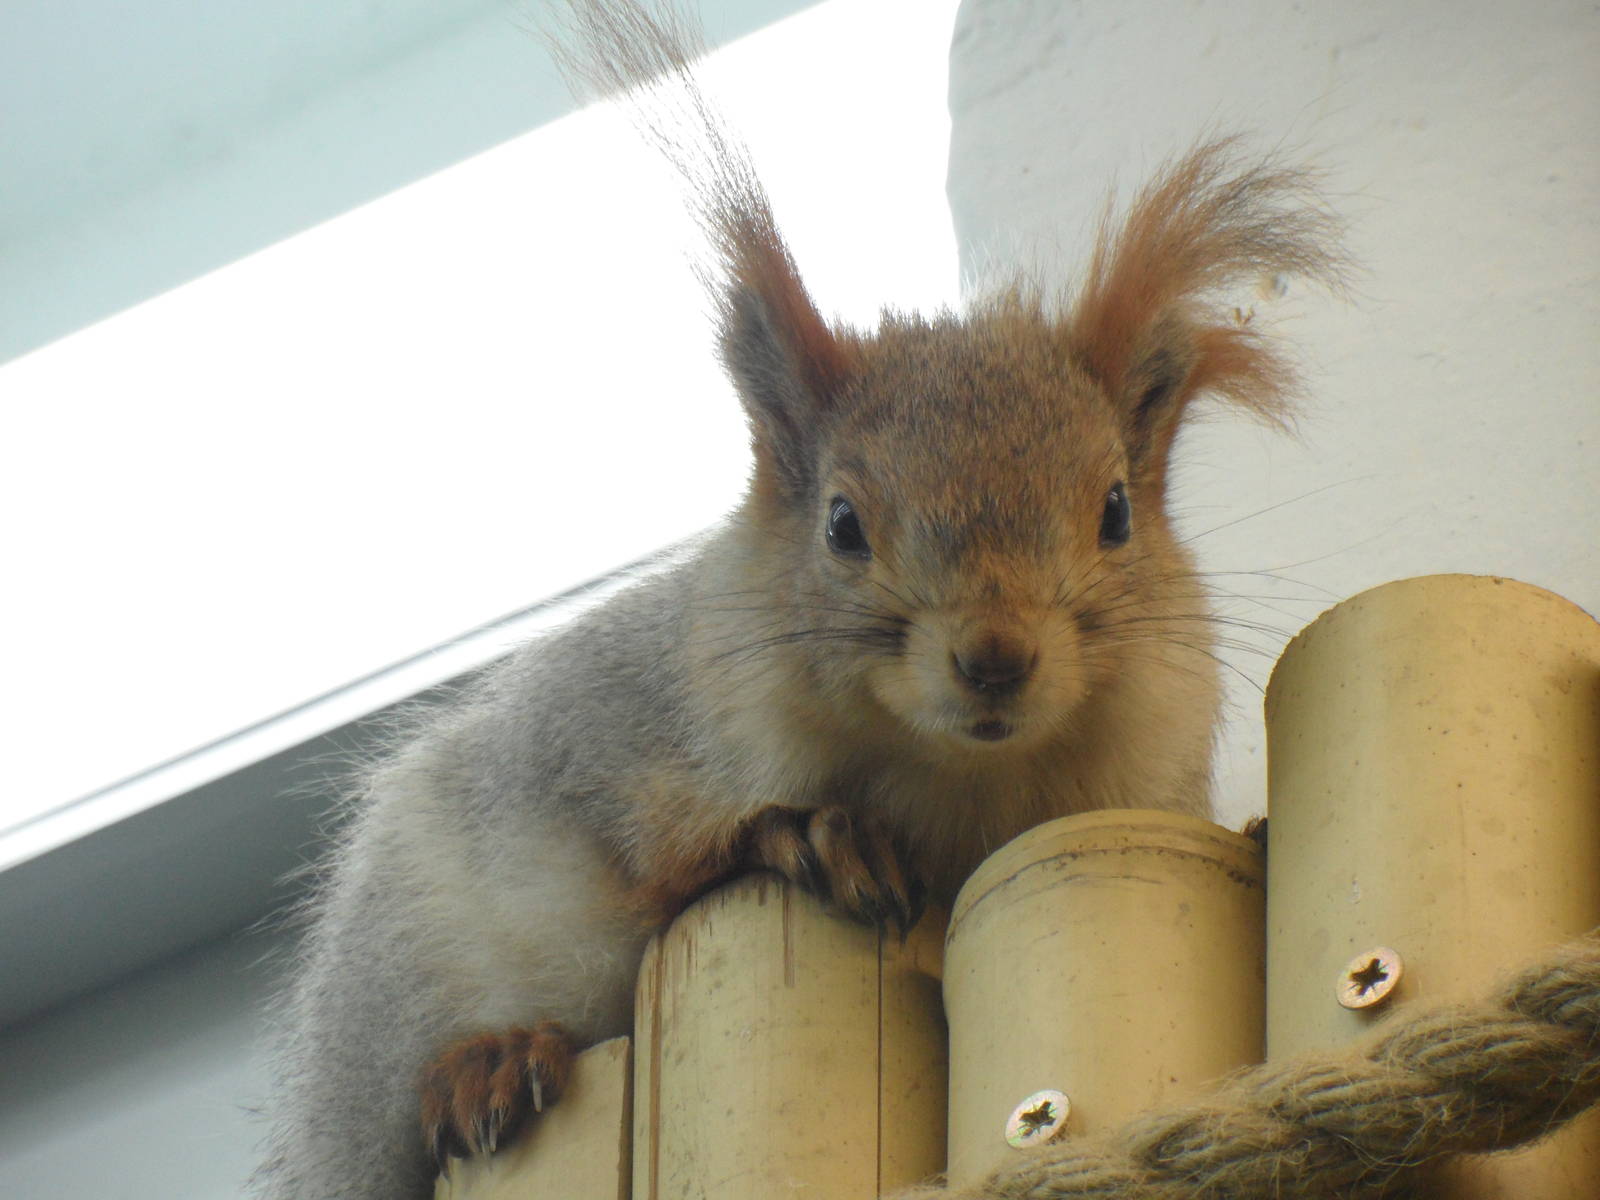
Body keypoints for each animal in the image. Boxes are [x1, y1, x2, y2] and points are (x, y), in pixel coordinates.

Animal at [253, 2, 1346, 1197]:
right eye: (841, 523)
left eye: (1114, 512)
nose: (995, 656)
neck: (951, 777)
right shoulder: (607, 730)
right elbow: (652, 853)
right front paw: (808, 836)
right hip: (398, 966)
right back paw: (485, 1065)